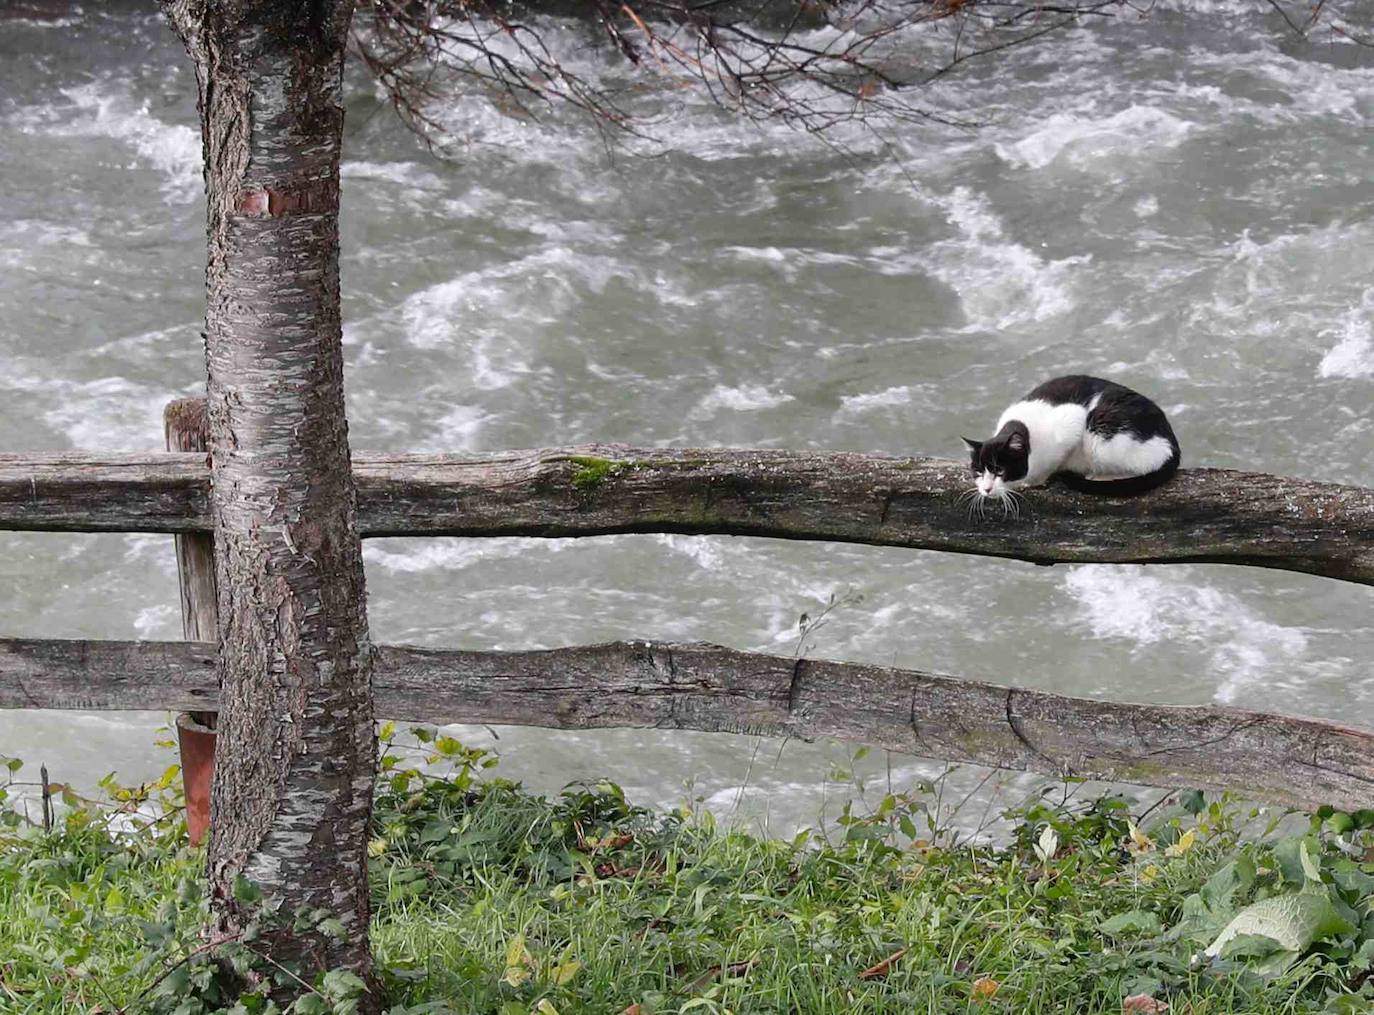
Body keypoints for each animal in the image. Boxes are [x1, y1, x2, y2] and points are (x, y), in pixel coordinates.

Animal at [961, 373, 1187, 508]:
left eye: (1000, 471)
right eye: (978, 472)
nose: (986, 489)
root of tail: (1172, 444)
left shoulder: (1072, 422)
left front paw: (1038, 480)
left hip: (1101, 433)